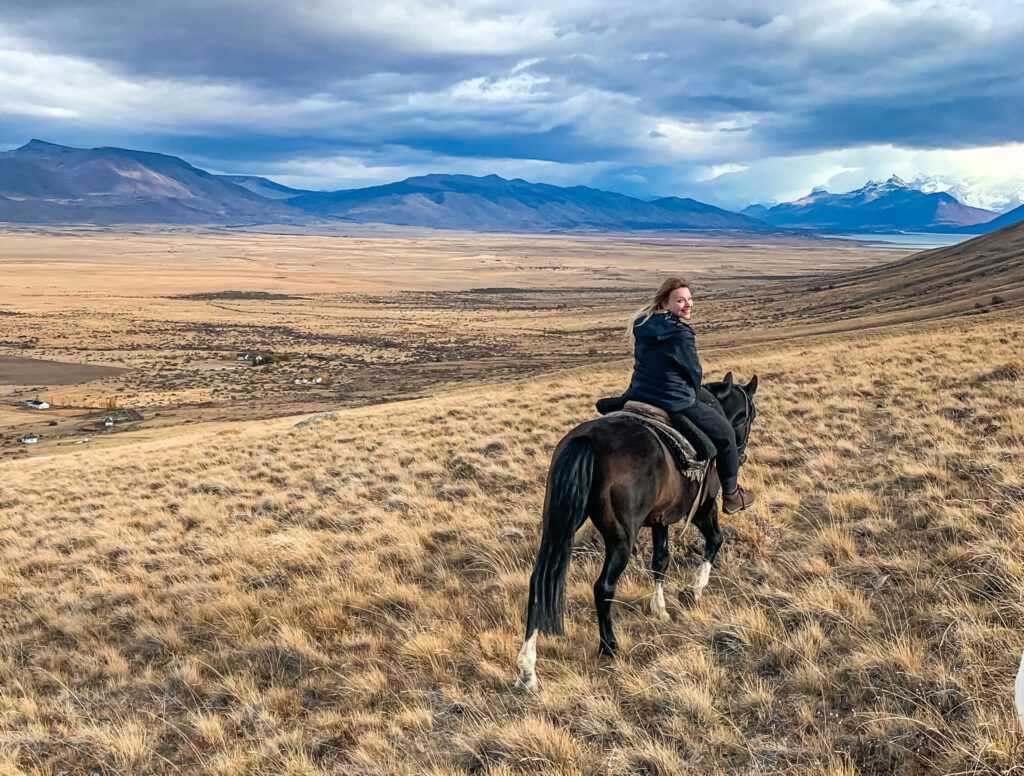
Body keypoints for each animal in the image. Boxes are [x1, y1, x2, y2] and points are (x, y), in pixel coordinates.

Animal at [516, 372, 757, 692]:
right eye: (750, 416)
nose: (741, 455)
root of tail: (587, 441)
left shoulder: (660, 519)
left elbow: (660, 562)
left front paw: (660, 608)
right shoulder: (702, 507)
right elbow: (716, 541)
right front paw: (694, 590)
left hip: (558, 523)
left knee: (539, 581)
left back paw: (527, 669)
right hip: (621, 538)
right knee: (603, 587)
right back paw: (609, 646)